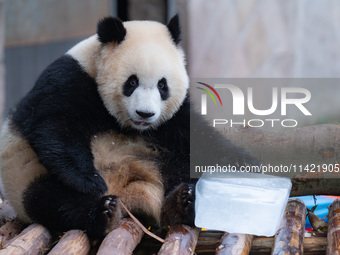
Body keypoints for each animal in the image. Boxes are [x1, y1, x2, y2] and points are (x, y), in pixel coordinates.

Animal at [0, 15, 258, 239]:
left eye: (162, 85)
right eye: (132, 82)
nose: (145, 114)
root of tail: (131, 193)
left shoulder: (171, 119)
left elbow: (197, 135)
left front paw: (242, 159)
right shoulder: (69, 78)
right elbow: (55, 126)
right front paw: (90, 180)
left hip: (160, 157)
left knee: (183, 168)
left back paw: (183, 201)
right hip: (27, 179)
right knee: (55, 202)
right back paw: (103, 213)